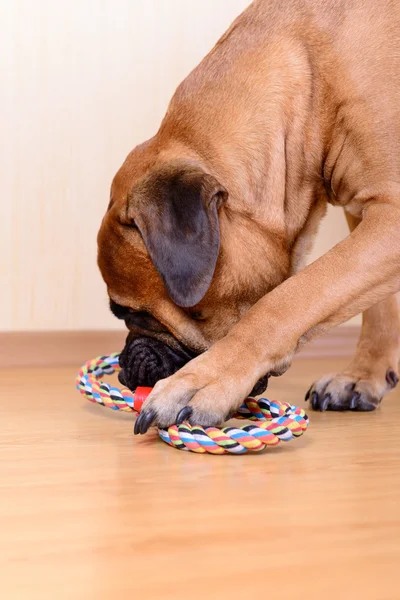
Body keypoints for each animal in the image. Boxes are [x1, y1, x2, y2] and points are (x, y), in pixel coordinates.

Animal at [97, 0, 400, 434]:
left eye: (132, 313)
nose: (123, 370)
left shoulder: (388, 220)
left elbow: (290, 298)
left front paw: (204, 380)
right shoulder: (368, 209)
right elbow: (379, 306)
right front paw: (364, 375)